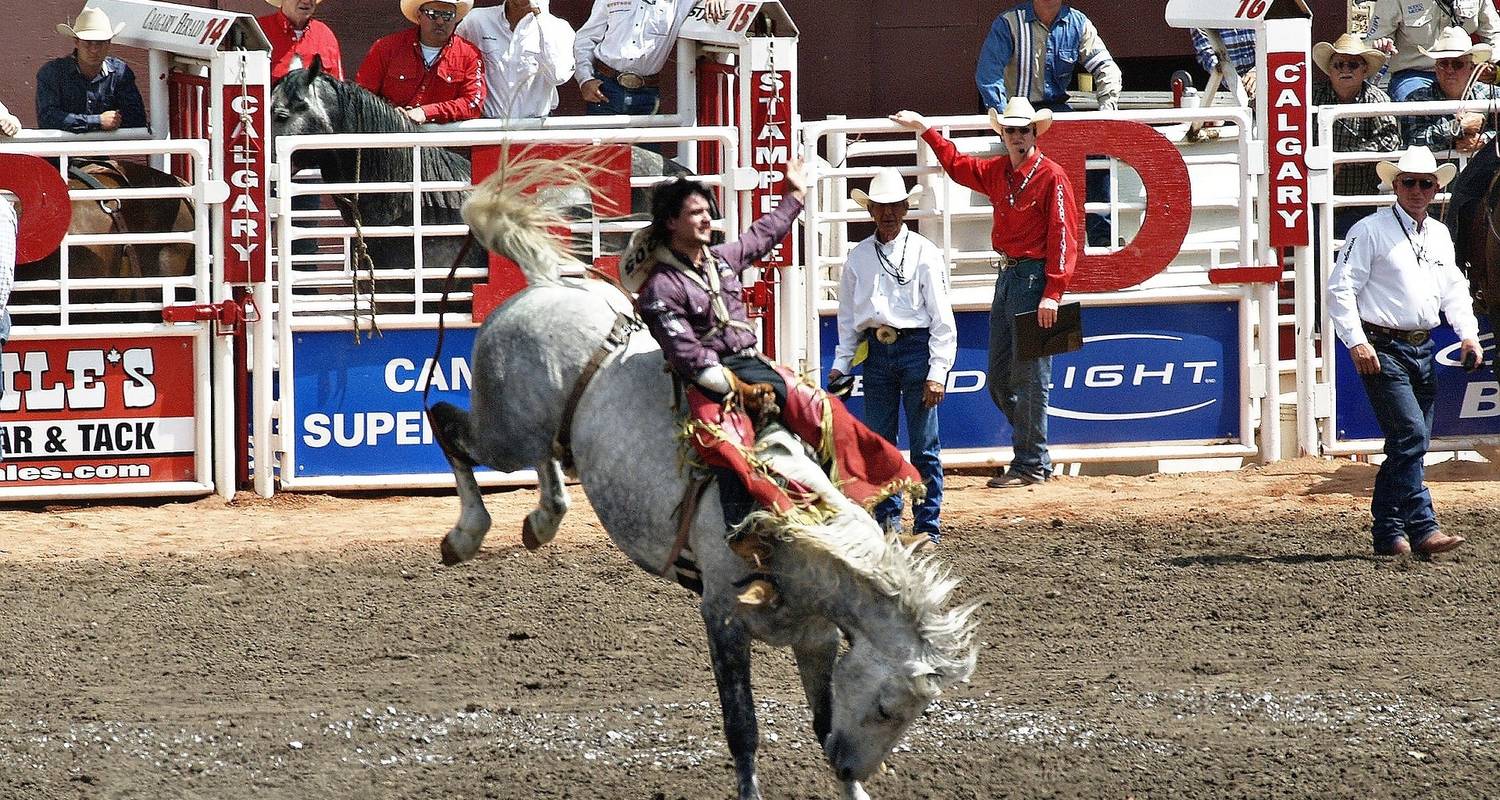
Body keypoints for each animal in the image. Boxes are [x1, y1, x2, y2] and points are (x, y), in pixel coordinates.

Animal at [429, 157, 978, 798]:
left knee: (545, 458)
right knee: (446, 423)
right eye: (890, 707)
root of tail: (546, 284)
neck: (793, 530)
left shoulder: (816, 638)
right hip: (504, 430)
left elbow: (821, 721)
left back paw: (542, 520)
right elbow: (743, 730)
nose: (849, 763)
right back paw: (466, 533)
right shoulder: (723, 618)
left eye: (913, 714)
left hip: (543, 432)